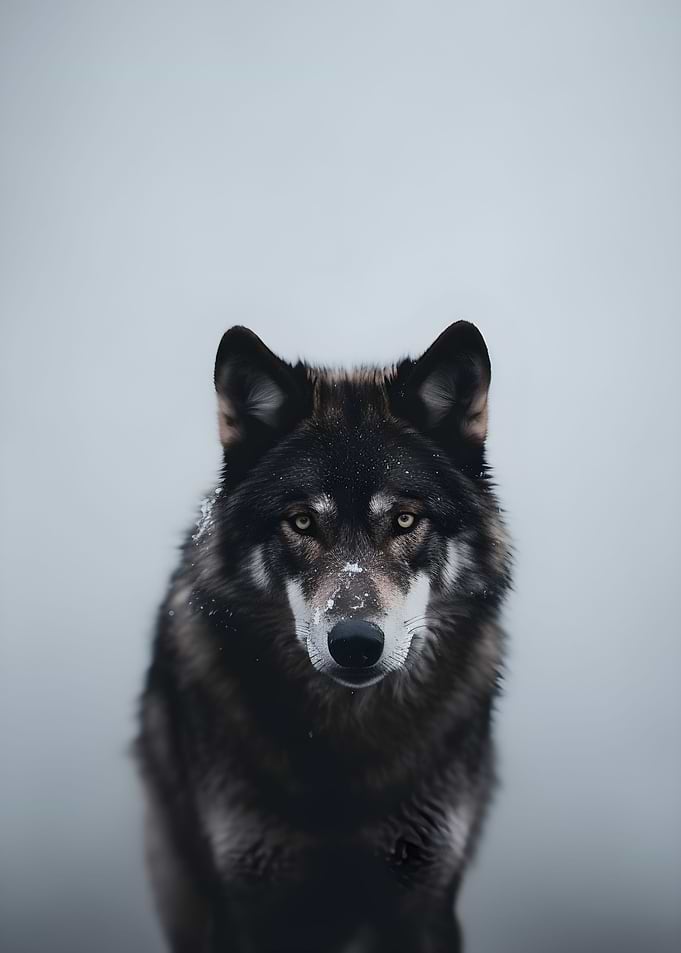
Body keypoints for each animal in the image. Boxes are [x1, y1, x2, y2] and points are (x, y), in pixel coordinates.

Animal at [135, 321, 512, 953]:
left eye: (405, 520)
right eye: (303, 521)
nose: (356, 642)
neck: (346, 738)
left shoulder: (423, 895)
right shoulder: (247, 897)